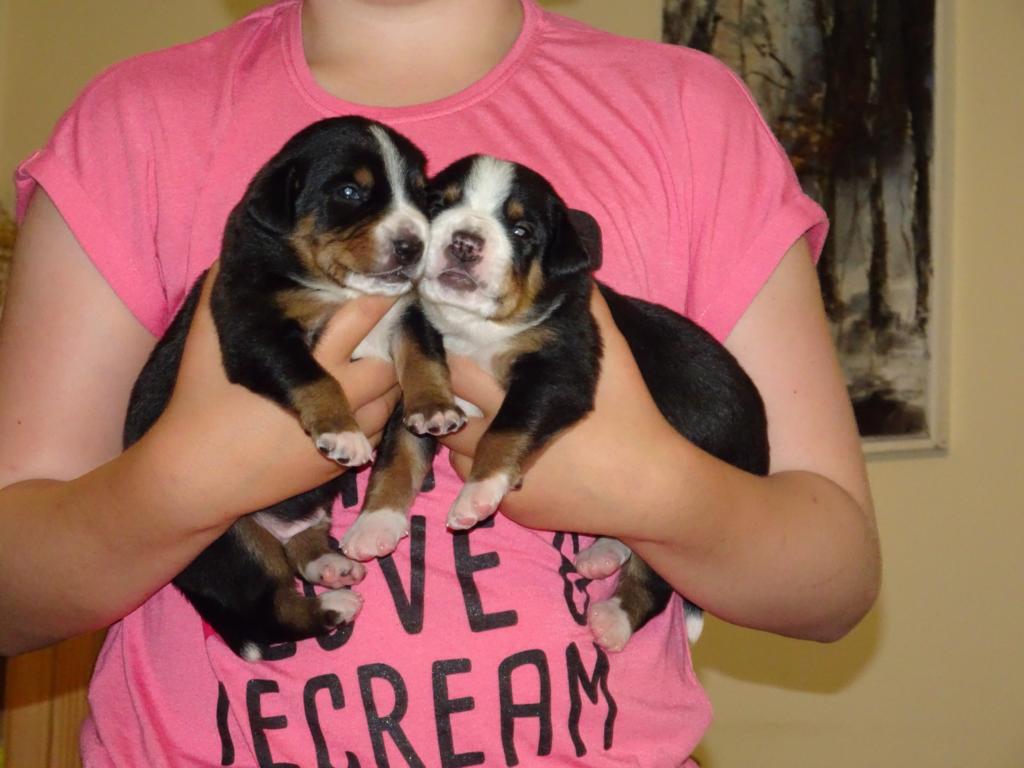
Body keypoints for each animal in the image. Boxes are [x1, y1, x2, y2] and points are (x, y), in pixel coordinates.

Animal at [123, 116, 463, 659]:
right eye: (349, 192)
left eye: (420, 195)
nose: (413, 245)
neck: (341, 289)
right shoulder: (256, 330)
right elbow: (312, 375)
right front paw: (343, 432)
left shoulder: (409, 314)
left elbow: (422, 366)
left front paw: (433, 407)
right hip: (229, 541)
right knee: (270, 612)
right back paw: (332, 607)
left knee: (302, 554)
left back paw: (333, 566)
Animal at [345, 154, 770, 652]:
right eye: (437, 205)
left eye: (521, 230)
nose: (465, 242)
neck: (475, 328)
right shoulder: (423, 392)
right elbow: (399, 455)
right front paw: (375, 523)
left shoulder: (558, 373)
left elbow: (506, 429)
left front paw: (478, 493)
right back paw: (602, 553)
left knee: (659, 577)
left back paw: (614, 618)